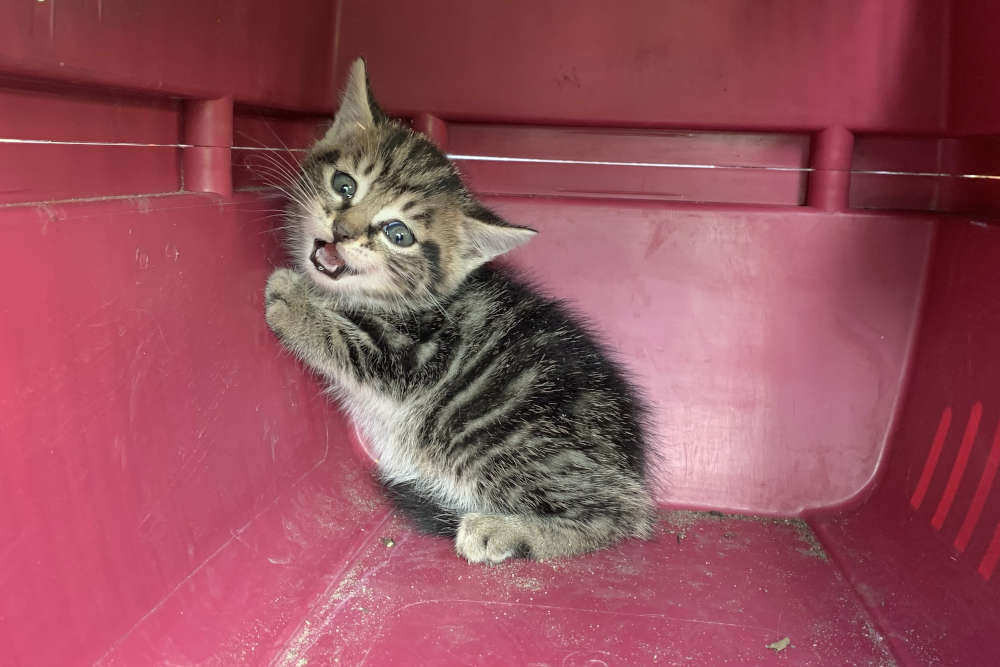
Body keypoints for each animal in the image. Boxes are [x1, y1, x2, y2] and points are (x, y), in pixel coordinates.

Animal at [266, 61, 656, 564]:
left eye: (398, 234)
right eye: (344, 185)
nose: (342, 230)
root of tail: (631, 467)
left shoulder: (416, 356)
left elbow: (348, 344)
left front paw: (292, 301)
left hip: (493, 434)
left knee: (616, 515)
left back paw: (500, 530)